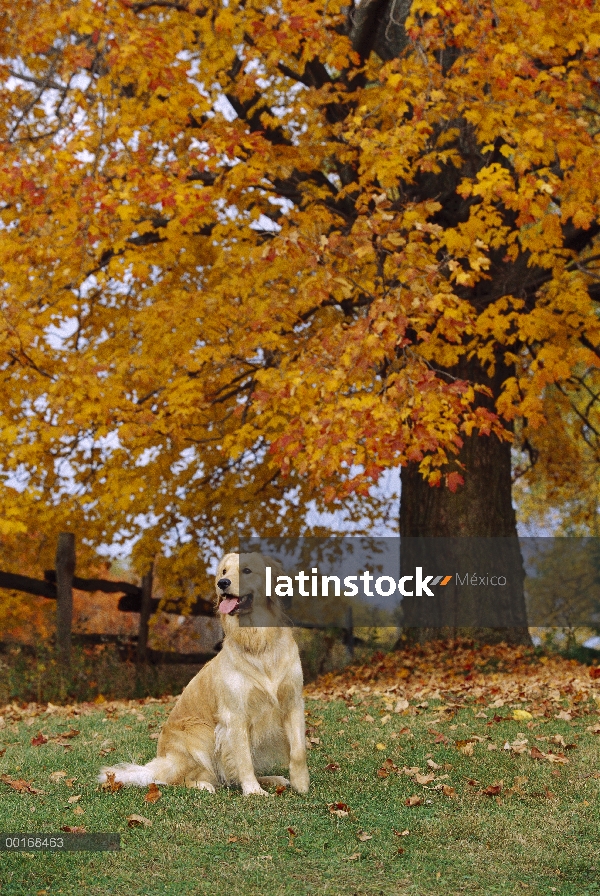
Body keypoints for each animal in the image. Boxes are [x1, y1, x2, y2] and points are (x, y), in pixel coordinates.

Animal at [98, 552, 310, 800]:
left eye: (247, 570)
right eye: (224, 572)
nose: (222, 584)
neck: (258, 641)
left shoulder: (293, 702)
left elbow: (298, 751)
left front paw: (301, 784)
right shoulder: (234, 714)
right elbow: (243, 758)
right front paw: (253, 790)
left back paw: (271, 779)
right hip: (200, 731)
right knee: (180, 779)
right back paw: (204, 785)